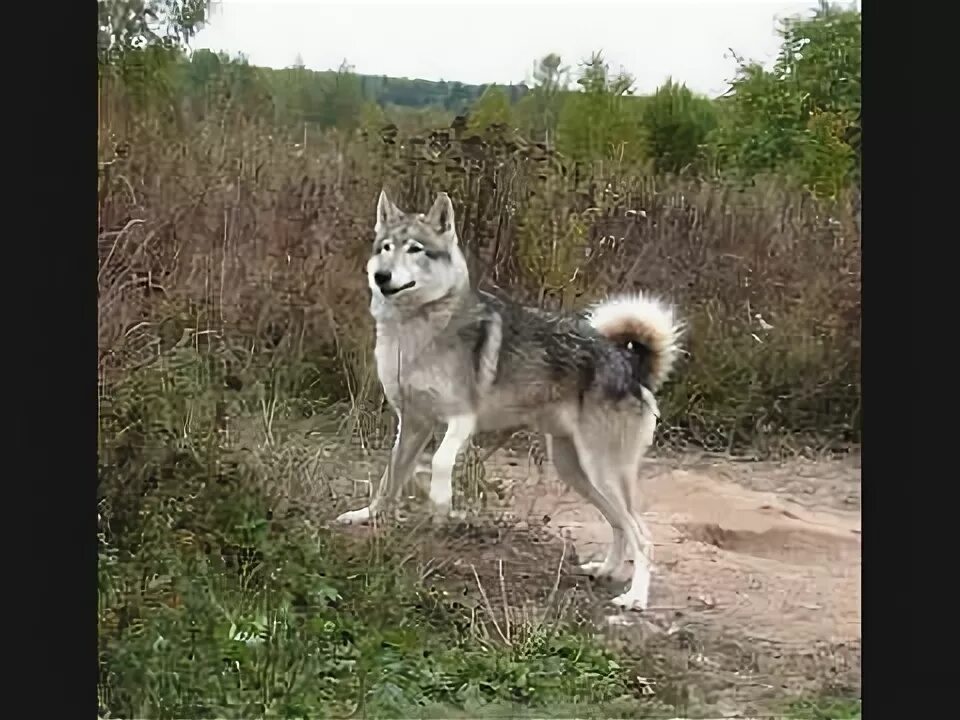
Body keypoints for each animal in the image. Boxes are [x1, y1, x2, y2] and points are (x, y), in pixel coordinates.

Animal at [338, 188, 684, 612]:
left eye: (415, 249)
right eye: (385, 248)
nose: (381, 276)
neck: (416, 329)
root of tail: (631, 365)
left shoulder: (462, 420)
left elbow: (439, 462)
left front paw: (441, 502)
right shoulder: (413, 425)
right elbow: (389, 479)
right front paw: (366, 516)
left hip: (602, 470)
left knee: (642, 535)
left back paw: (635, 597)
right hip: (576, 471)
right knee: (619, 525)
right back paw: (605, 570)